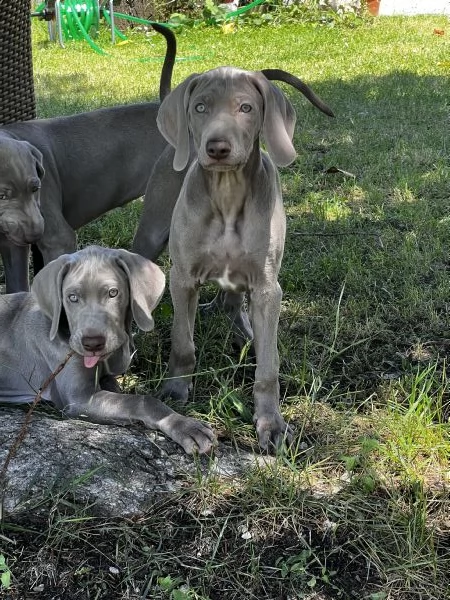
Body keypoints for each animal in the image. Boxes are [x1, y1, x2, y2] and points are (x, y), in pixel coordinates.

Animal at [0, 245, 216, 454]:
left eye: (113, 293)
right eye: (72, 297)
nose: (92, 344)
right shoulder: (78, 398)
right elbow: (141, 401)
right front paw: (185, 426)